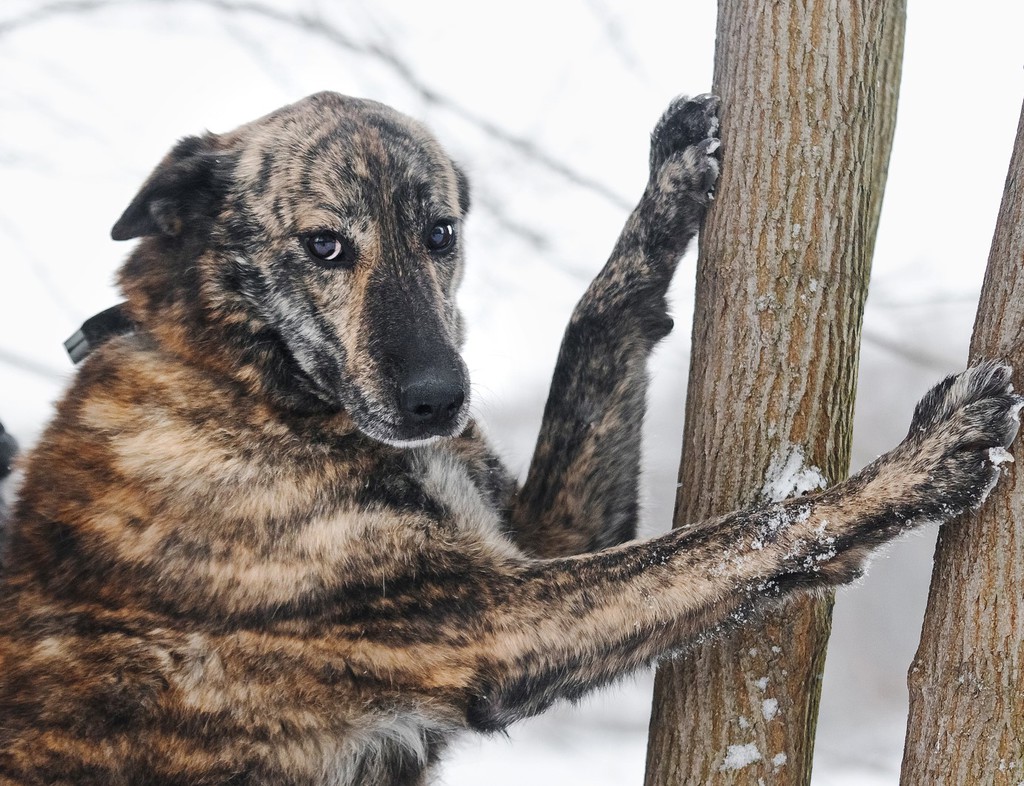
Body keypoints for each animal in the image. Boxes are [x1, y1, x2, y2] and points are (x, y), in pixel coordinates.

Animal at [0, 93, 1019, 786]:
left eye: (441, 233)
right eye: (325, 246)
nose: (437, 400)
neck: (246, 376)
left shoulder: (543, 538)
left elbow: (595, 326)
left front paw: (667, 189)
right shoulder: (493, 621)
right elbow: (746, 538)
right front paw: (925, 462)